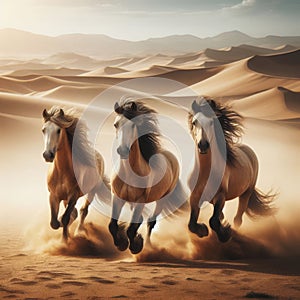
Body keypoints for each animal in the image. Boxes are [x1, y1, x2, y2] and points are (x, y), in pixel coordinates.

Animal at [42, 106, 110, 240]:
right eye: (43, 130)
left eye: (58, 130)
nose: (47, 155)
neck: (62, 172)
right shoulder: (53, 195)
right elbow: (54, 222)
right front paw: (64, 232)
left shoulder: (73, 196)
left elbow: (65, 218)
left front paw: (65, 240)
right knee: (75, 213)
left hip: (92, 192)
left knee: (83, 211)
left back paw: (79, 232)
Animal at [108, 99, 183, 254]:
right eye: (116, 124)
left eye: (133, 124)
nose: (122, 150)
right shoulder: (117, 197)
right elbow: (112, 225)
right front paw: (121, 243)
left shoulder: (140, 201)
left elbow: (131, 229)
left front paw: (136, 246)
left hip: (161, 200)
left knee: (151, 221)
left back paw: (149, 246)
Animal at [188, 97, 276, 243]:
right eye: (195, 122)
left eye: (211, 122)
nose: (203, 145)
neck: (206, 172)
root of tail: (248, 151)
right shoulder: (195, 196)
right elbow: (191, 224)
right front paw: (203, 231)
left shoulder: (220, 196)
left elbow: (213, 221)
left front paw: (225, 234)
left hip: (246, 193)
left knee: (238, 219)